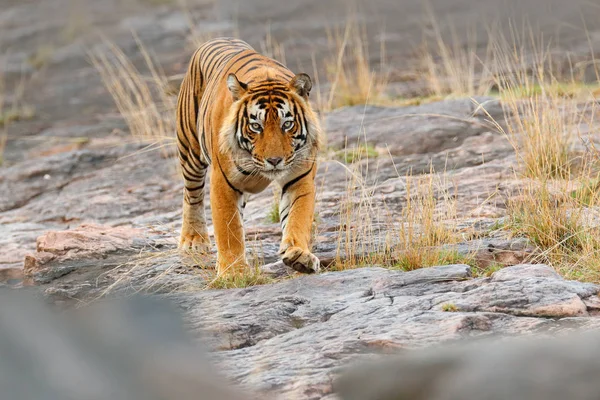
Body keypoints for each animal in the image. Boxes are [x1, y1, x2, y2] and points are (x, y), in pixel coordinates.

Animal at [175, 36, 322, 276]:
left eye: (287, 124)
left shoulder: (300, 178)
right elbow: (229, 229)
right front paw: (233, 271)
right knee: (192, 195)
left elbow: (297, 216)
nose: (274, 161)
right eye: (256, 126)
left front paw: (299, 255)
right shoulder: (223, 182)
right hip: (190, 149)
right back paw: (194, 240)